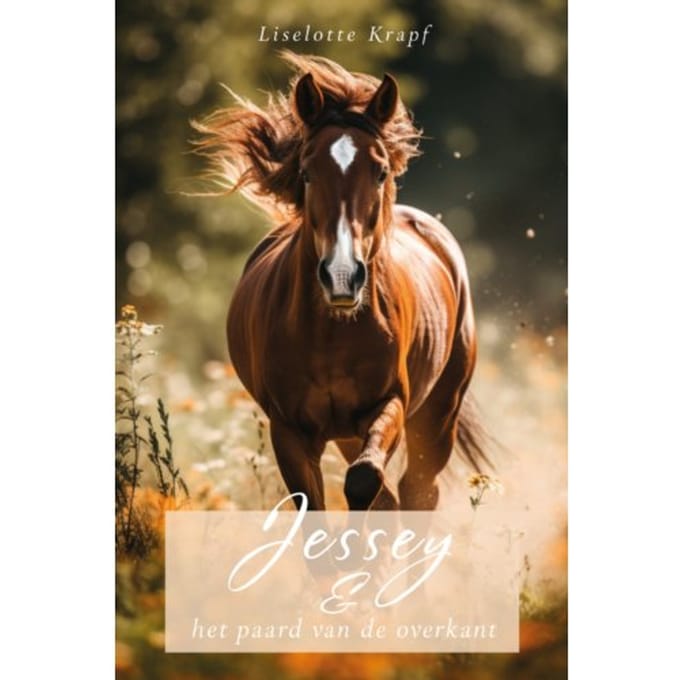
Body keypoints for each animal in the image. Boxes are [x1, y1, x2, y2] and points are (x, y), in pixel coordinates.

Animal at [194, 53, 490, 511]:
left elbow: (365, 480)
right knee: (392, 498)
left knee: (417, 490)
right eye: (307, 171)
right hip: (351, 434)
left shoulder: (389, 404)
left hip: (438, 412)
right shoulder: (289, 430)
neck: (330, 335)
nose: (341, 276)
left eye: (381, 171)